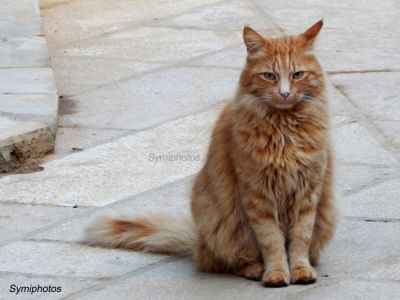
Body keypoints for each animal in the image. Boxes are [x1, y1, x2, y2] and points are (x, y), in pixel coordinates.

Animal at [86, 19, 336, 288]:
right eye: (270, 76)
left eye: (297, 75)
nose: (285, 93)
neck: (285, 128)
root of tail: (199, 242)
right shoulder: (258, 196)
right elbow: (272, 242)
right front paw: (277, 273)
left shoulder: (308, 193)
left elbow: (300, 239)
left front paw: (300, 270)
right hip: (222, 224)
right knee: (230, 262)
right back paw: (255, 269)